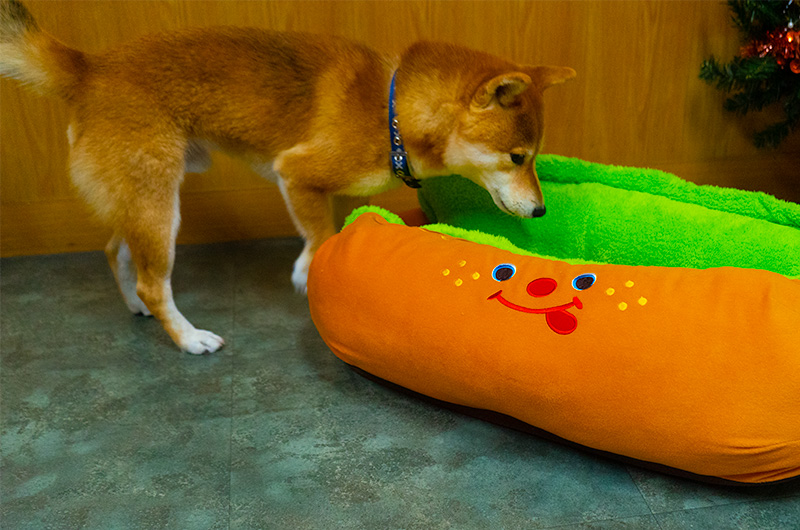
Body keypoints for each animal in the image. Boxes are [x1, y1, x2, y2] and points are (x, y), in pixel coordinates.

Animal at [0, 1, 576, 354]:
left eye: (535, 157)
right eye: (516, 157)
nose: (541, 209)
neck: (391, 112)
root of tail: (88, 68)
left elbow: (328, 226)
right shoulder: (295, 173)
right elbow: (319, 233)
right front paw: (305, 271)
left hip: (142, 195)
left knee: (116, 253)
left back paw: (136, 307)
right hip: (159, 202)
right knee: (152, 280)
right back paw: (188, 338)